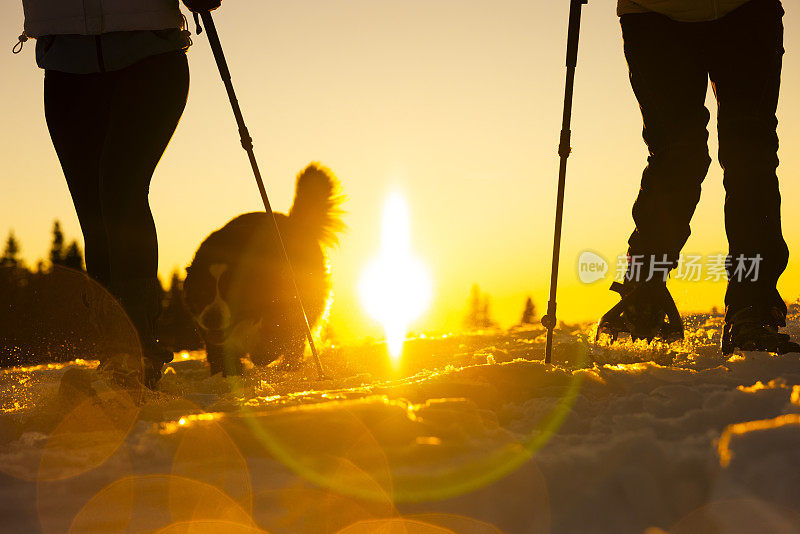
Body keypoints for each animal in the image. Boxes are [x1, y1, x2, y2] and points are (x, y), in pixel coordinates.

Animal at [184, 163, 344, 376]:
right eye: (202, 292)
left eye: (230, 292)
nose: (212, 319)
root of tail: (294, 221)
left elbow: (277, 336)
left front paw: (263, 354)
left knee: (297, 340)